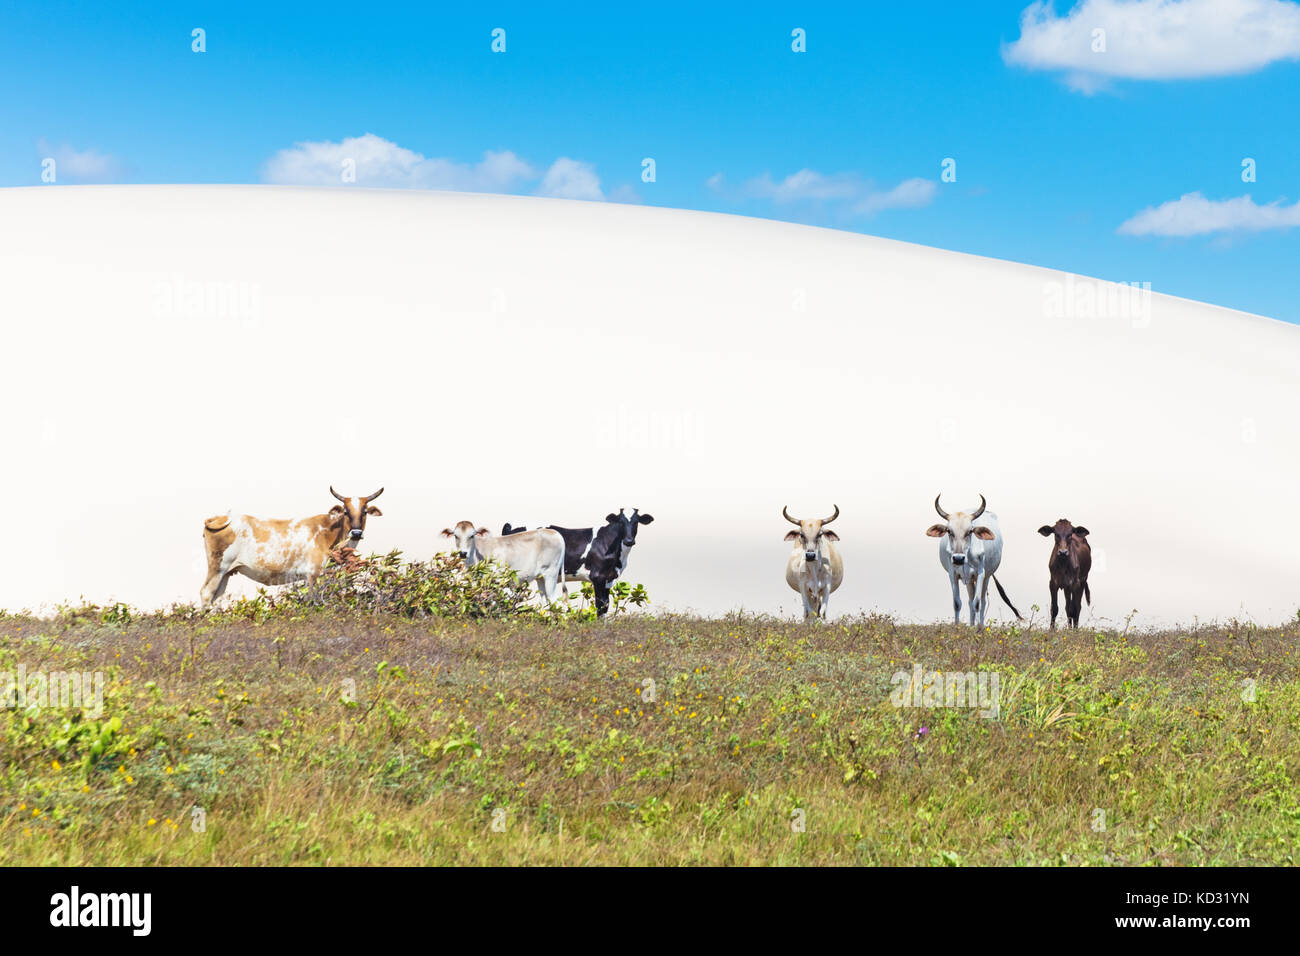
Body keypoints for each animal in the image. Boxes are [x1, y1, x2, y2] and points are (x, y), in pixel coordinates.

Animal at [196, 486, 379, 606]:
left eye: (364, 511)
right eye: (346, 511)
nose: (356, 533)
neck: (328, 531)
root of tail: (220, 518)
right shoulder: (313, 574)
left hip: (226, 573)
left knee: (217, 597)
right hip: (217, 567)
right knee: (206, 593)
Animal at [501, 512, 655, 616]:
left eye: (636, 522)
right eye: (621, 522)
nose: (629, 540)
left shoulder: (609, 578)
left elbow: (606, 605)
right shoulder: (598, 576)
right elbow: (600, 604)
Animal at [930, 494, 1019, 629]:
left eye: (970, 531)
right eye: (949, 531)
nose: (958, 558)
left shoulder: (981, 574)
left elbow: (977, 603)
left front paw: (978, 629)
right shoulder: (953, 574)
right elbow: (957, 603)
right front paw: (957, 627)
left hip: (986, 577)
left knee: (982, 601)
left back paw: (980, 625)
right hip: (969, 580)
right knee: (969, 600)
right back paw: (972, 625)